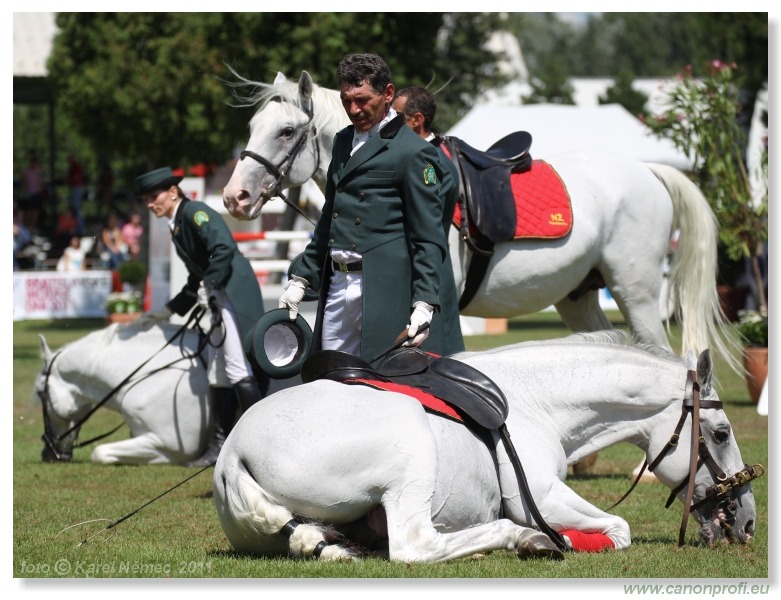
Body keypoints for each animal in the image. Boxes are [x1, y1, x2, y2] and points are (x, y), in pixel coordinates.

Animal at [212, 332, 756, 564]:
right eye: (721, 433)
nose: (748, 521)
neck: (537, 401)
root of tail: (232, 454)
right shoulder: (539, 496)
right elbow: (618, 530)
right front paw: (555, 539)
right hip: (412, 444)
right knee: (414, 547)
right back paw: (522, 539)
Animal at [224, 72, 736, 368]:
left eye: (286, 131)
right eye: (250, 128)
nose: (235, 197)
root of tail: (647, 170)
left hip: (637, 292)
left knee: (660, 352)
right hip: (577, 295)